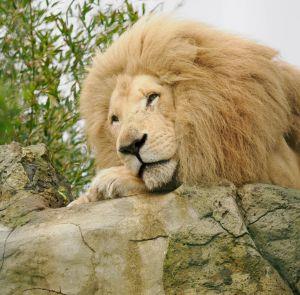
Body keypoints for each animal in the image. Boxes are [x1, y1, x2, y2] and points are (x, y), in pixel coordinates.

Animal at [67, 15, 300, 207]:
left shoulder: (275, 166)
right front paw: (85, 198)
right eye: (115, 119)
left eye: (152, 97)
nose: (130, 147)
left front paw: (109, 180)